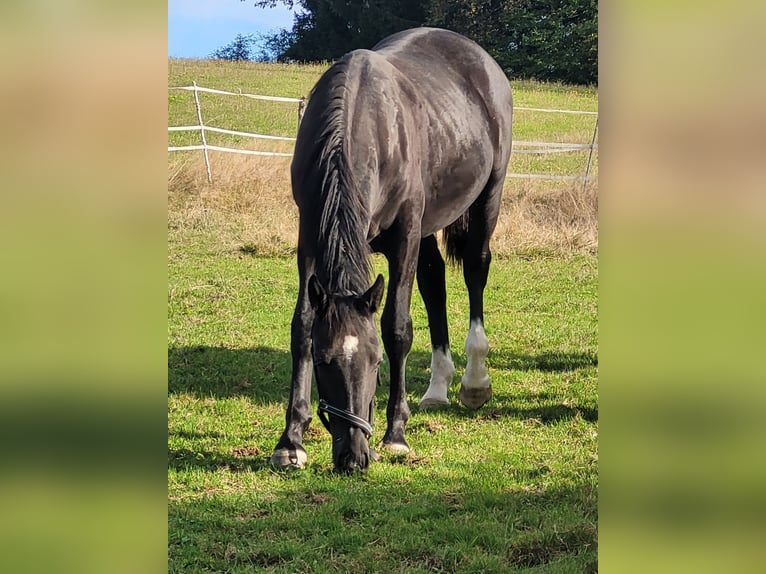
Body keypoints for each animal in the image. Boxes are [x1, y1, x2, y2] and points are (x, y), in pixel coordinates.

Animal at [272, 27, 516, 474]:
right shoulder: (309, 236)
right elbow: (302, 324)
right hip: (428, 227)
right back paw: (438, 387)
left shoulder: (404, 237)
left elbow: (397, 328)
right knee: (434, 283)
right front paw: (291, 441)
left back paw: (474, 382)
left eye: (375, 361)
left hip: (487, 197)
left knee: (476, 270)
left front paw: (396, 435)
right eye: (324, 361)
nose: (352, 457)